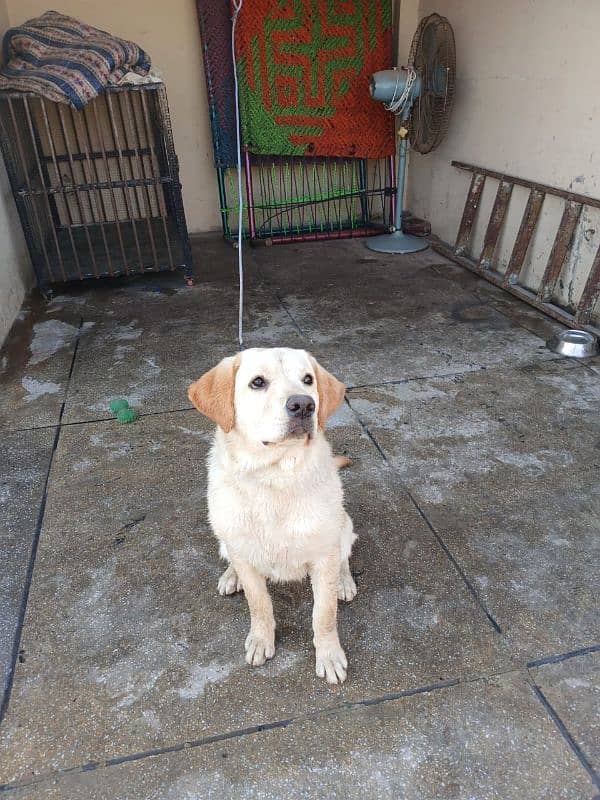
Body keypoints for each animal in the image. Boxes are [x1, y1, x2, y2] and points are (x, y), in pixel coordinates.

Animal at [189, 346, 356, 684]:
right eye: (257, 382)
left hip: (345, 525)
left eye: (308, 380)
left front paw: (329, 655)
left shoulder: (324, 556)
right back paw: (231, 576)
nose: (304, 405)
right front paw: (260, 639)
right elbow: (259, 605)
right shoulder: (245, 554)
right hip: (225, 537)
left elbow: (324, 615)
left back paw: (344, 581)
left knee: (344, 556)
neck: (274, 477)